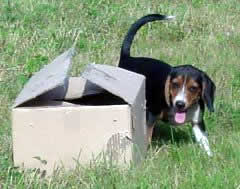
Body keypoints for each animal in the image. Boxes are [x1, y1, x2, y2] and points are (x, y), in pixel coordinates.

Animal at [118, 14, 216, 156]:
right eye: (174, 84)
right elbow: (147, 137)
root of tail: (128, 58)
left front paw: (210, 157)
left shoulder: (198, 122)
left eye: (193, 88)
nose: (180, 104)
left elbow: (204, 142)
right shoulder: (150, 116)